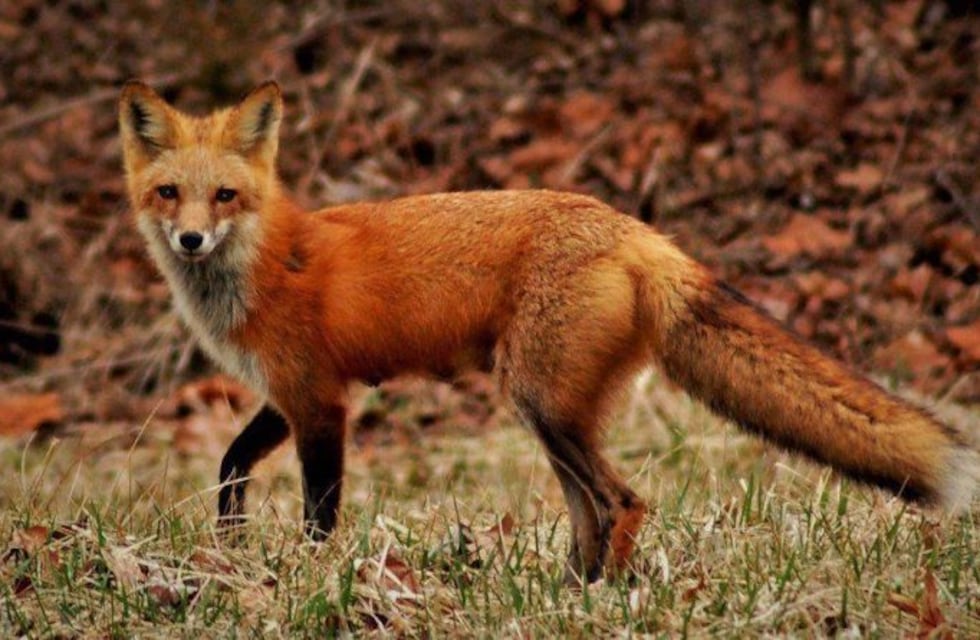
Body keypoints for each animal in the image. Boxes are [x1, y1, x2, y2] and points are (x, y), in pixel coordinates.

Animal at [118, 80, 979, 584]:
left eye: (224, 197)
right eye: (169, 194)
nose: (190, 240)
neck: (264, 263)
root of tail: (637, 231)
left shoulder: (323, 402)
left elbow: (318, 515)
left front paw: (307, 579)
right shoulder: (288, 396)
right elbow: (230, 465)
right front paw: (229, 545)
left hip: (542, 402)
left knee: (623, 502)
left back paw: (601, 599)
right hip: (553, 411)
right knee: (589, 512)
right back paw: (572, 591)